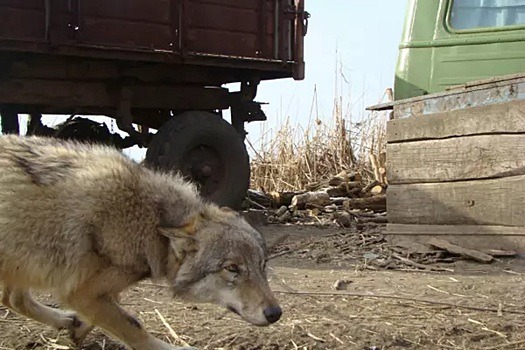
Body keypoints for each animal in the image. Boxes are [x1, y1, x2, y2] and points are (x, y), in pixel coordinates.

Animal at [0, 135, 280, 350]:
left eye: (262, 266)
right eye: (232, 268)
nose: (276, 313)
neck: (150, 218)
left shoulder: (88, 289)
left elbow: (111, 306)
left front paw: (79, 327)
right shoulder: (77, 291)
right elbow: (134, 327)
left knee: (13, 299)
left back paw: (65, 320)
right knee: (13, 299)